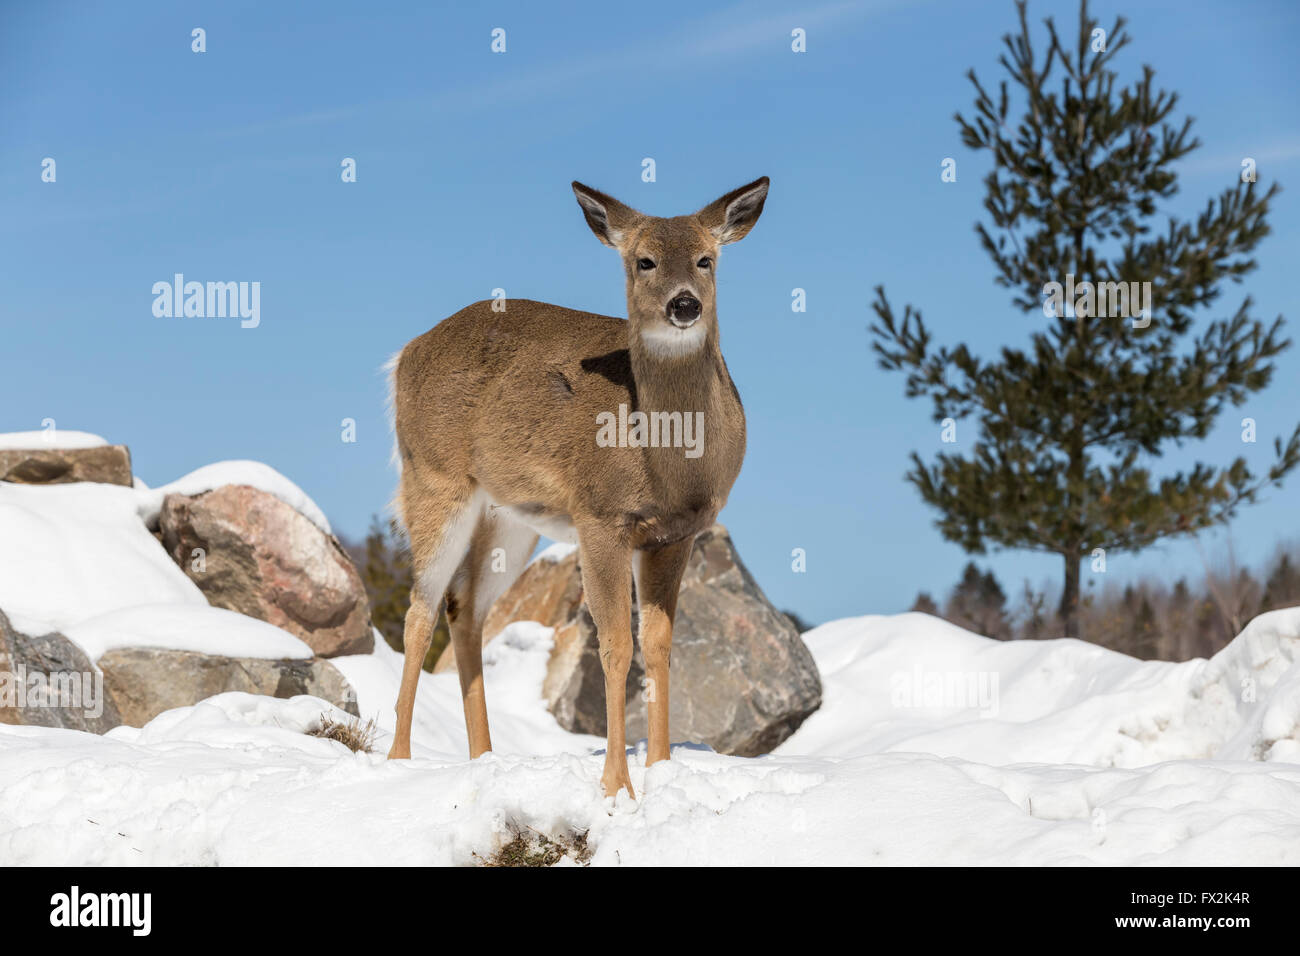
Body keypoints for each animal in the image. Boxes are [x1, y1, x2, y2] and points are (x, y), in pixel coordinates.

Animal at [384, 174, 769, 801]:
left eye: (706, 260)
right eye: (644, 261)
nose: (684, 304)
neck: (670, 461)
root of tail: (405, 352)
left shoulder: (676, 533)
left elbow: (659, 647)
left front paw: (661, 768)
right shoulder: (600, 516)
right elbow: (615, 645)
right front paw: (616, 786)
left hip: (510, 516)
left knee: (464, 607)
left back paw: (484, 757)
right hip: (433, 477)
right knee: (420, 607)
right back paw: (397, 759)